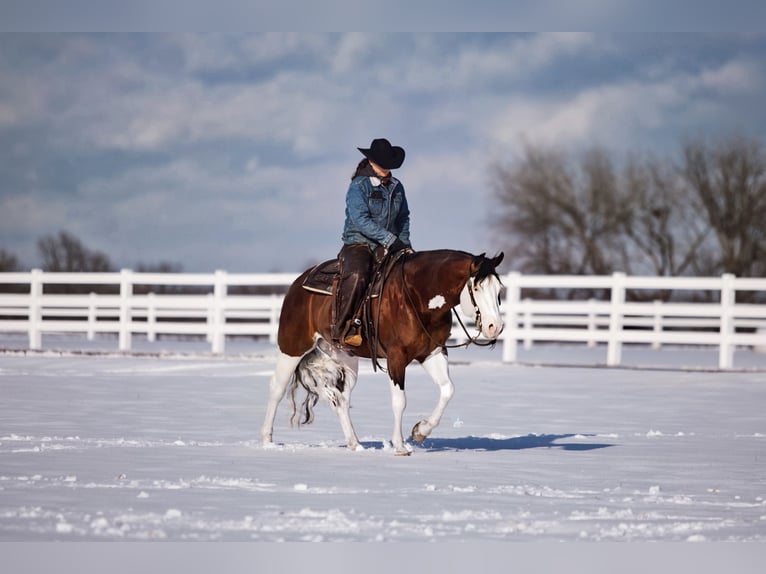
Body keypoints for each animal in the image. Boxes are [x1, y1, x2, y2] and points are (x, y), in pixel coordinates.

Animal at [260, 250, 508, 456]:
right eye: (476, 288)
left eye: (499, 290)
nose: (495, 327)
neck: (416, 296)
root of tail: (297, 284)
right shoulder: (396, 358)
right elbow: (399, 401)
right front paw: (399, 446)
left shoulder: (432, 352)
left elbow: (448, 390)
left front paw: (420, 431)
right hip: (292, 348)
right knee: (276, 388)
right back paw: (267, 440)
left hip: (345, 358)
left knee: (341, 400)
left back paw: (355, 444)